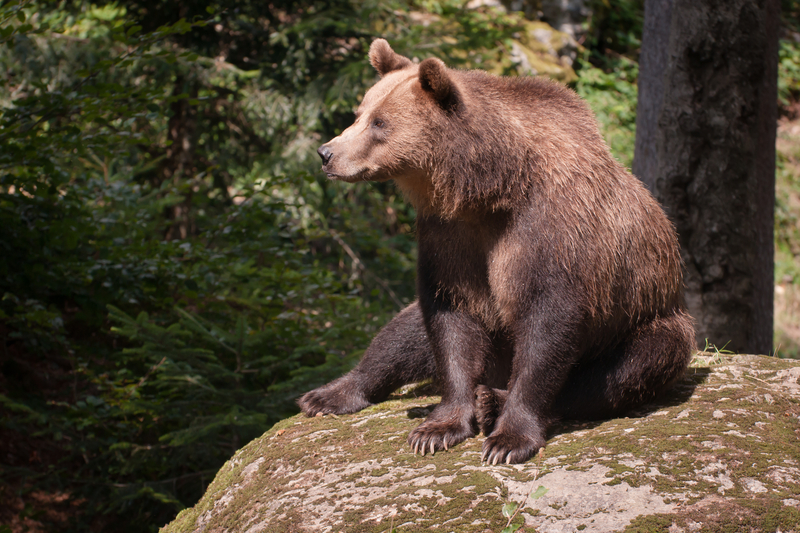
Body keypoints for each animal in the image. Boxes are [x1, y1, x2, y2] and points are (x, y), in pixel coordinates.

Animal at [298, 37, 692, 464]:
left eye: (380, 123)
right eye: (360, 113)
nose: (326, 153)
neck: (490, 188)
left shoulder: (551, 232)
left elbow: (548, 324)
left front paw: (508, 439)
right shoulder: (448, 238)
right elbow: (449, 319)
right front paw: (438, 428)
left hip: (646, 320)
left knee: (631, 367)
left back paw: (493, 400)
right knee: (399, 335)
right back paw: (328, 394)